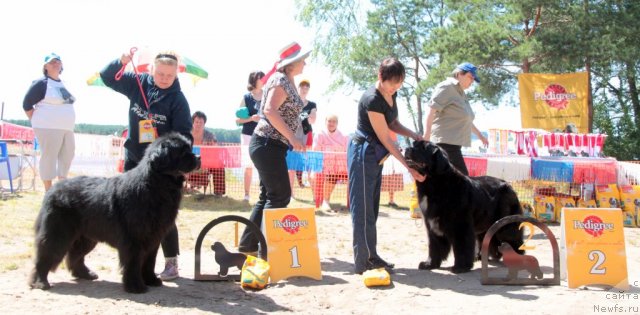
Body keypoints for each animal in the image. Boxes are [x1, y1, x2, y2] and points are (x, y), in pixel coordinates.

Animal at [28, 133, 200, 294]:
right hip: (58, 234)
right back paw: (40, 282)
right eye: (183, 151)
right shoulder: (134, 239)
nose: (198, 158)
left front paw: (151, 280)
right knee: (45, 255)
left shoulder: (153, 238)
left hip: (87, 237)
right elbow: (134, 263)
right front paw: (136, 286)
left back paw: (86, 274)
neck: (156, 185)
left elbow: (149, 262)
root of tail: (52, 190)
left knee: (75, 256)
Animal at [404, 141, 524, 274]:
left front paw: (460, 267)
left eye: (423, 148)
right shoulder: (432, 225)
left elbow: (462, 246)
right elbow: (434, 246)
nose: (407, 148)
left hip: (505, 225)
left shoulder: (460, 225)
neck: (434, 184)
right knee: (485, 239)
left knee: (513, 238)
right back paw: (480, 256)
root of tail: (510, 186)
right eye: (414, 144)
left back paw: (516, 257)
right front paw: (430, 264)